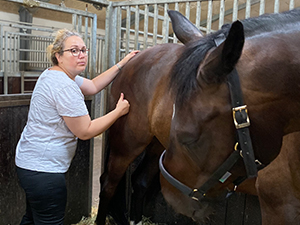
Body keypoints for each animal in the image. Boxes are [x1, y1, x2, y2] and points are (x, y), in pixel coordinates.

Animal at [95, 8, 300, 225]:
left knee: (139, 181)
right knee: (108, 183)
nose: (175, 197)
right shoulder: (278, 204)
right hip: (128, 143)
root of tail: (132, 61)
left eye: (189, 138)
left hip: (157, 144)